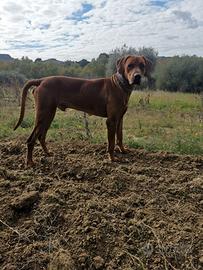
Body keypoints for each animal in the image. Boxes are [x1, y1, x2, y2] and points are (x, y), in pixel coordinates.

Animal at [14, 55, 150, 166]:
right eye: (129, 66)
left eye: (142, 65)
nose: (137, 77)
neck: (120, 85)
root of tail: (42, 80)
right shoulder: (111, 121)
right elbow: (111, 143)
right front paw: (112, 158)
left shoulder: (120, 118)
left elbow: (120, 137)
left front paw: (123, 150)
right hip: (43, 115)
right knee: (31, 139)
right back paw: (30, 162)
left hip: (49, 115)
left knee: (41, 136)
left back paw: (47, 153)